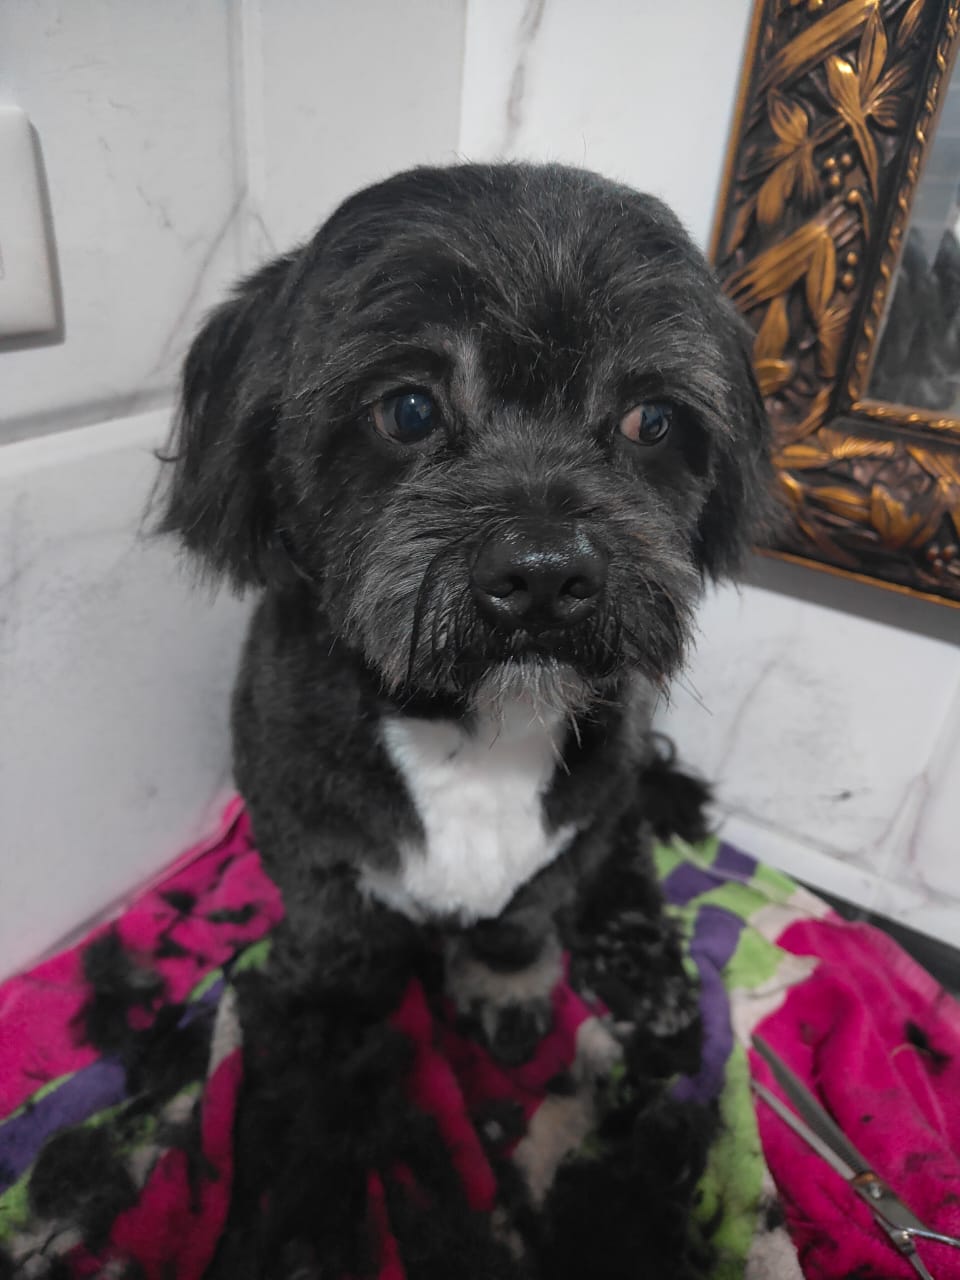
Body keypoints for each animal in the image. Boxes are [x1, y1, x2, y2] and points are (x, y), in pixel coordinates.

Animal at [156, 162, 771, 1278]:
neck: (473, 728)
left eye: (652, 421)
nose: (546, 572)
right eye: (407, 407)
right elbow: (329, 986)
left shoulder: (576, 820)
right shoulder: (312, 857)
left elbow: (523, 914)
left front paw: (506, 984)